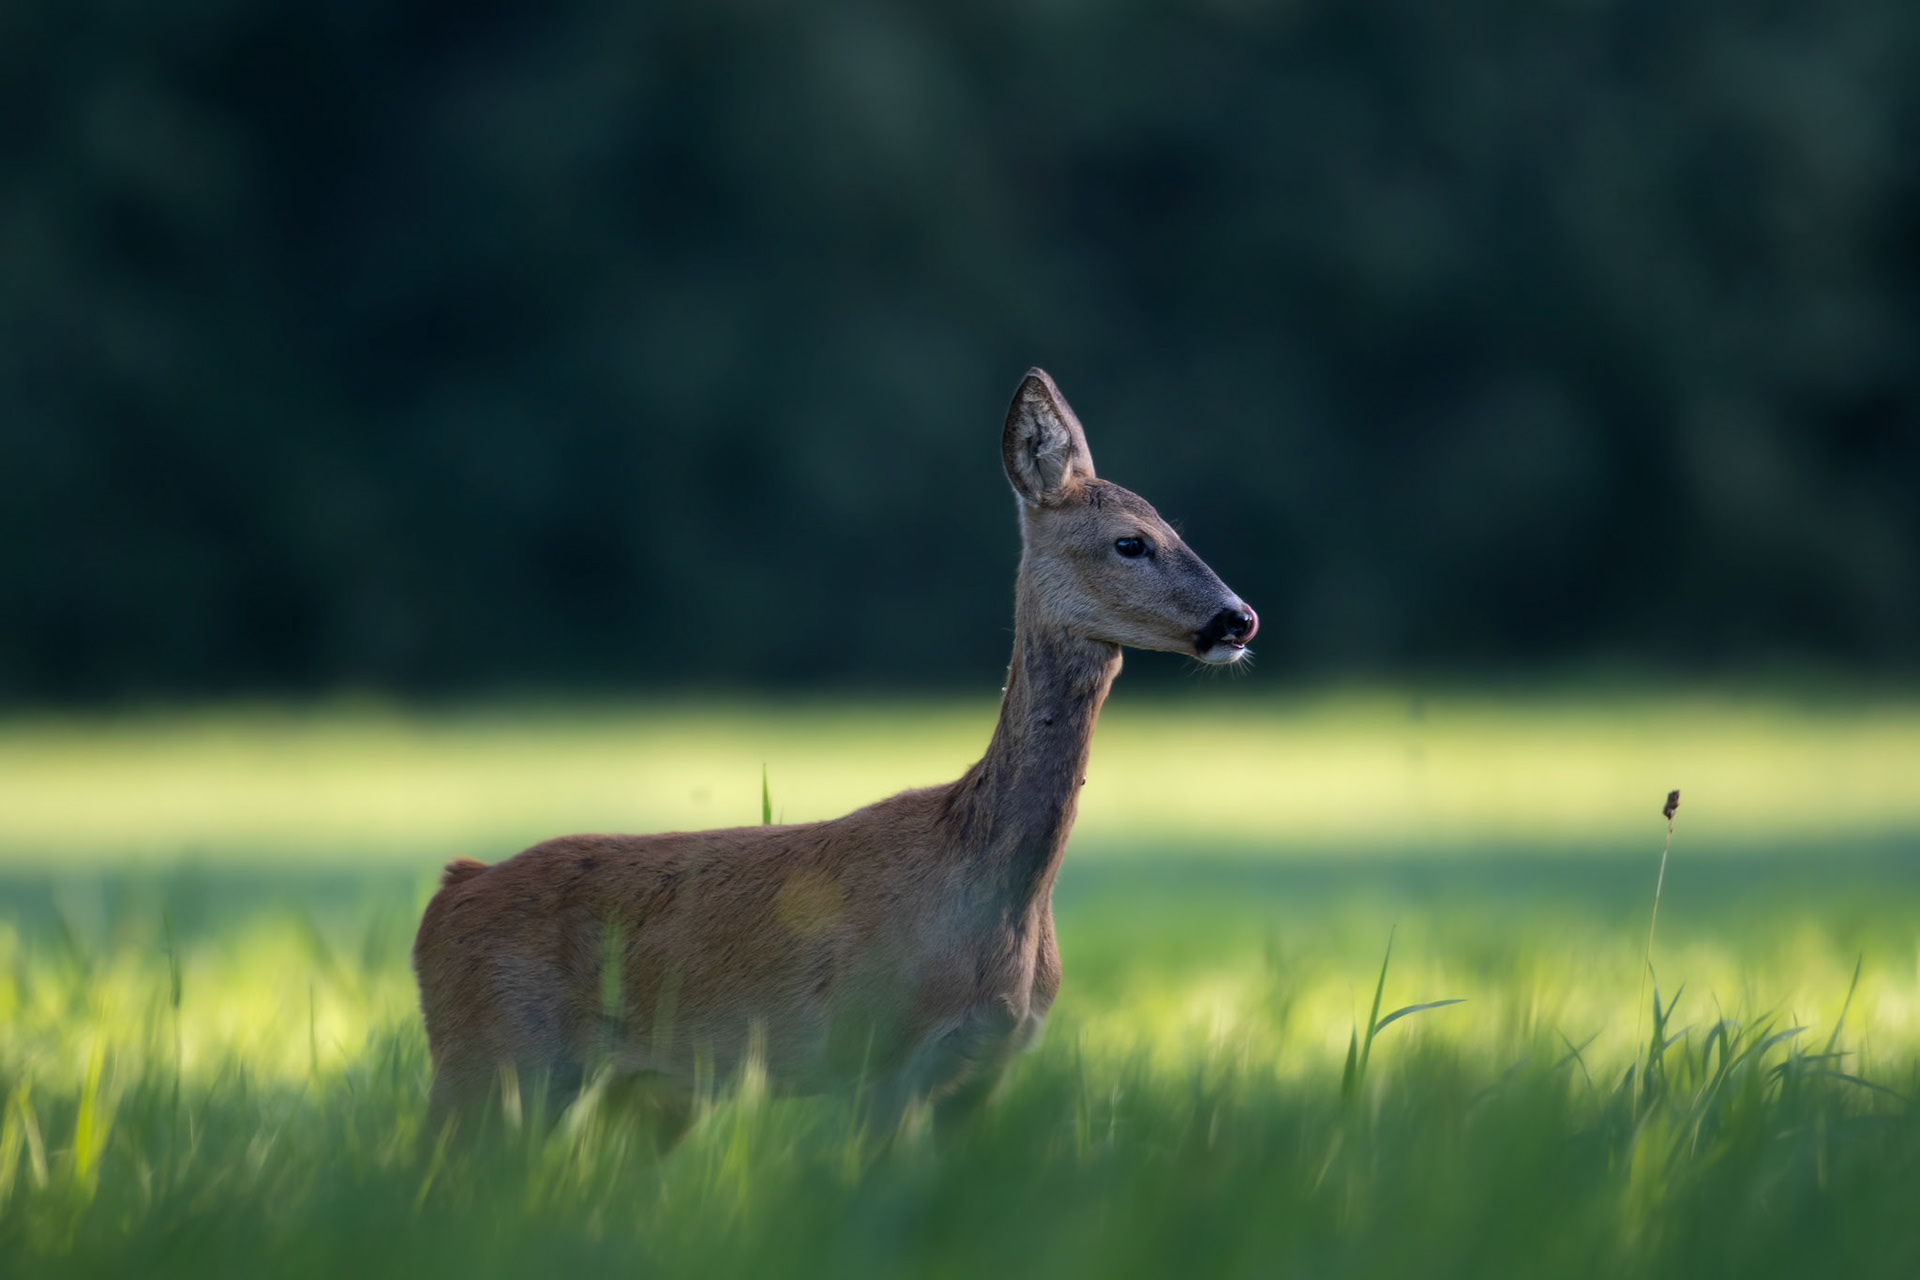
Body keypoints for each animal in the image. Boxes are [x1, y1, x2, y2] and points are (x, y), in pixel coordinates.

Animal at [412, 369, 1257, 1141]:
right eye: (1130, 542)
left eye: (1175, 529)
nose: (1238, 618)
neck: (991, 890)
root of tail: (450, 894)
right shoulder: (874, 1055)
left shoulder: (984, 1074)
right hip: (489, 1062)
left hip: (622, 1096)